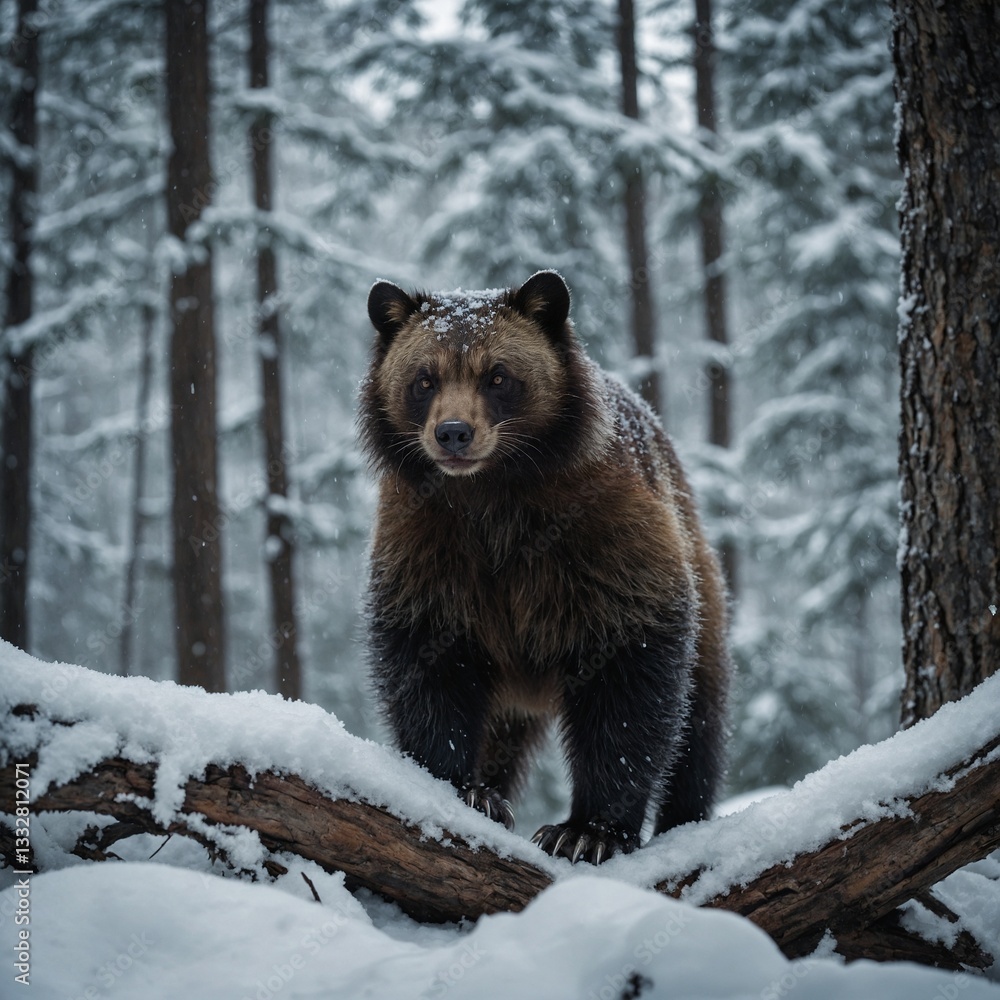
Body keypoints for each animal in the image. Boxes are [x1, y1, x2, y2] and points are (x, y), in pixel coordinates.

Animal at [359, 270, 731, 864]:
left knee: (700, 723)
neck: (496, 498)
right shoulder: (430, 547)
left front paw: (587, 831)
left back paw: (684, 817)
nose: (454, 433)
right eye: (424, 379)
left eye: (498, 375)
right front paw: (466, 788)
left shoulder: (603, 542)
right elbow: (428, 664)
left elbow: (629, 682)